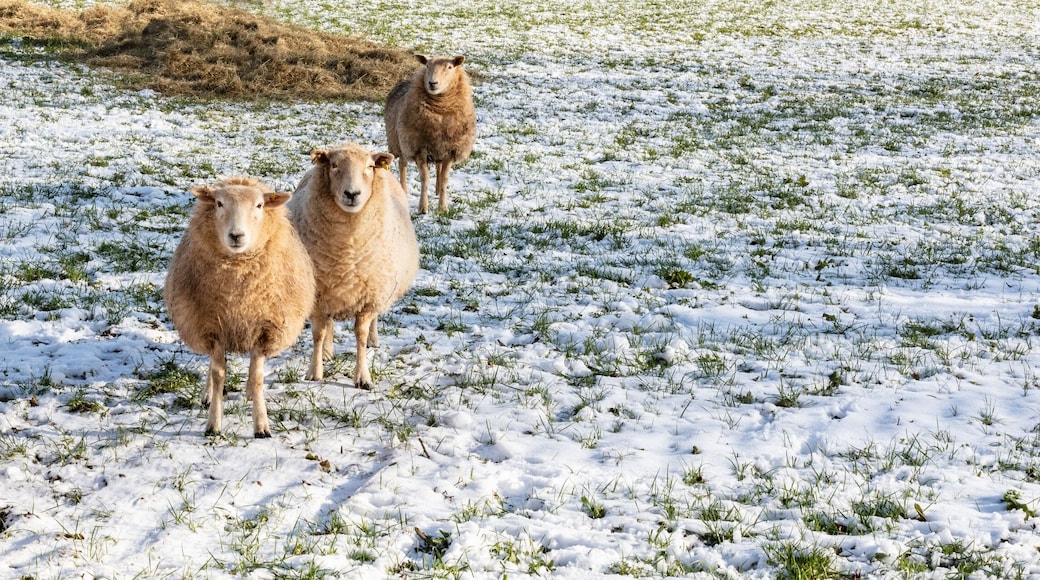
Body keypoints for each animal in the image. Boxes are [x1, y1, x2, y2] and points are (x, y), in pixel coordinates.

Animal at [164, 176, 315, 438]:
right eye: (219, 203)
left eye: (259, 205)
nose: (236, 235)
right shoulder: (211, 328)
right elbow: (218, 373)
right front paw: (213, 423)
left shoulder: (265, 329)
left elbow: (256, 377)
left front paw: (261, 425)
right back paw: (207, 395)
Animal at [289, 142, 419, 388]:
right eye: (333, 165)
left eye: (369, 167)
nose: (352, 194)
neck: (347, 252)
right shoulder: (318, 295)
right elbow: (318, 333)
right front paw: (315, 371)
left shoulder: (369, 297)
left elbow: (360, 334)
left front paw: (363, 377)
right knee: (329, 325)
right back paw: (327, 352)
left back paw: (373, 340)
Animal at [384, 54, 476, 214]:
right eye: (427, 66)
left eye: (450, 67)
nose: (432, 83)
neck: (441, 110)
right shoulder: (419, 148)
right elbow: (424, 178)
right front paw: (423, 207)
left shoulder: (450, 149)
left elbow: (445, 178)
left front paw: (443, 207)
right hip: (400, 141)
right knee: (403, 164)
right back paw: (404, 190)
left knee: (438, 167)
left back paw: (437, 191)